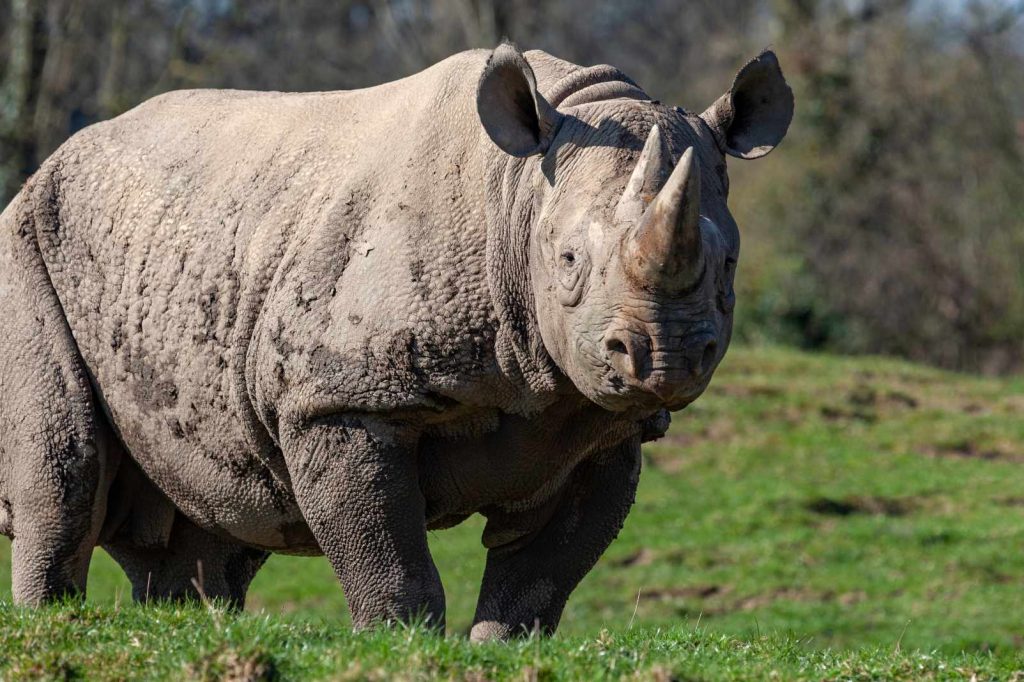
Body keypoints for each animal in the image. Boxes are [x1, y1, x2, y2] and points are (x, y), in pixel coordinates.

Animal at [0, 43, 791, 639]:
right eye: (567, 262)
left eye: (728, 266)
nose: (665, 358)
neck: (520, 195)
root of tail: (50, 165)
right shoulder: (338, 396)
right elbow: (388, 554)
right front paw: (397, 642)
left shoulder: (603, 425)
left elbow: (540, 578)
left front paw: (499, 649)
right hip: (26, 239)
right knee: (66, 469)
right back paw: (54, 624)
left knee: (218, 517)